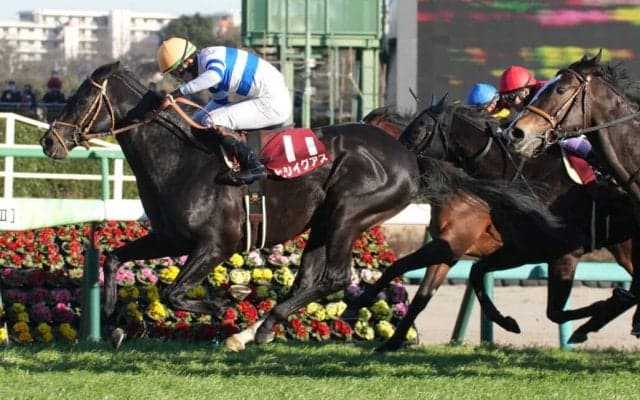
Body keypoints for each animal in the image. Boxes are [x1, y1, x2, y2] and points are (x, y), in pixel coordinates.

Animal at [38, 62, 421, 351]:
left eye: (81, 99)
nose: (47, 141)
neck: (182, 159)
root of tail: (401, 151)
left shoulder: (215, 245)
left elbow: (173, 293)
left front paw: (225, 302)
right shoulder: (170, 238)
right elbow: (113, 258)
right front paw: (115, 326)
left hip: (349, 214)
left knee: (335, 277)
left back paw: (255, 329)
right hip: (323, 222)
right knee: (306, 281)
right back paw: (253, 332)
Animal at [357, 102, 639, 348]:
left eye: (419, 129)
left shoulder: (460, 242)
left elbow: (401, 266)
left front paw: (364, 299)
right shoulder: (482, 249)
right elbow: (428, 294)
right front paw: (392, 342)